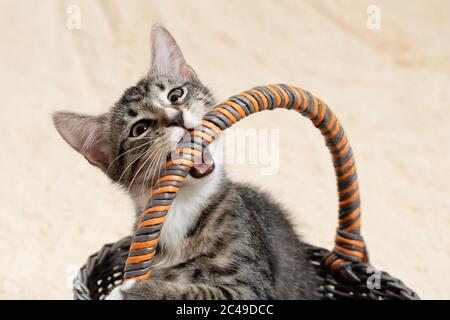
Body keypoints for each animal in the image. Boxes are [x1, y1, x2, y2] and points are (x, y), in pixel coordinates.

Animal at [52, 25, 320, 300]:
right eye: (139, 129)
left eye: (175, 95)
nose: (176, 117)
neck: (181, 204)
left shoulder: (251, 286)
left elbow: (195, 291)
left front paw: (130, 291)